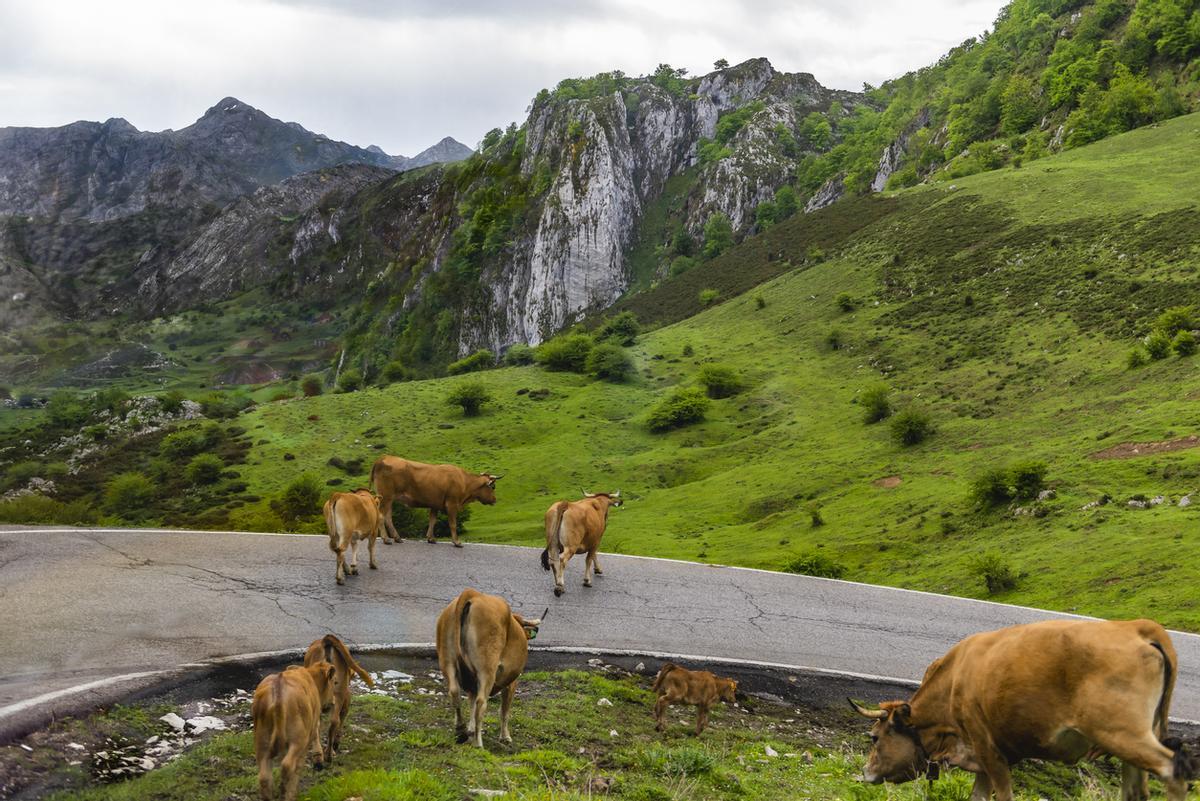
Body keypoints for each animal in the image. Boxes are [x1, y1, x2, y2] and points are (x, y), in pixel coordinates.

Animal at [252, 661, 336, 801]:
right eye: (335, 682)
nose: (334, 701)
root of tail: (278, 687)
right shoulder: (308, 735)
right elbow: (300, 764)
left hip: (261, 743)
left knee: (264, 777)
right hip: (297, 740)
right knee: (287, 766)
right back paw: (287, 795)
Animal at [302, 634, 374, 762]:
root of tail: (325, 640)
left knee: (328, 722)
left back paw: (322, 755)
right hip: (339, 695)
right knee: (333, 722)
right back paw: (326, 754)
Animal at [369, 456, 501, 547]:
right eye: (493, 487)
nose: (495, 500)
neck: (464, 481)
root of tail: (384, 457)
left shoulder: (435, 504)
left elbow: (432, 521)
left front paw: (430, 538)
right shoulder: (452, 504)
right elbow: (452, 524)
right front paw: (456, 542)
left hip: (390, 499)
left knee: (388, 517)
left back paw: (397, 538)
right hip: (386, 497)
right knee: (381, 516)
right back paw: (386, 539)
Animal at [435, 588, 545, 748]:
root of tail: (472, 594)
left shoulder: (472, 684)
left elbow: (471, 703)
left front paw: (471, 729)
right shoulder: (511, 682)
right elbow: (504, 711)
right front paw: (505, 737)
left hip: (447, 661)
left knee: (455, 692)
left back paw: (460, 731)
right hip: (487, 669)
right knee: (481, 703)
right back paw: (479, 744)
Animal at [850, 618, 1196, 801]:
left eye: (874, 737)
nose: (866, 773)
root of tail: (1136, 627)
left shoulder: (988, 748)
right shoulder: (981, 759)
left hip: (1122, 734)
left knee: (1172, 770)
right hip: (1134, 742)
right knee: (1136, 790)